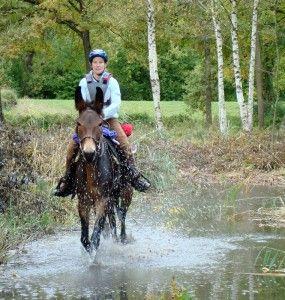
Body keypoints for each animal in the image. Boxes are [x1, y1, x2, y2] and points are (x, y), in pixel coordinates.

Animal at [72, 86, 132, 253]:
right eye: (78, 123)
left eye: (99, 124)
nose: (89, 153)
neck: (92, 169)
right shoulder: (84, 201)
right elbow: (85, 238)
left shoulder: (103, 200)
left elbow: (95, 236)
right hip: (111, 198)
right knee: (112, 220)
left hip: (126, 192)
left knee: (122, 215)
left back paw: (122, 238)